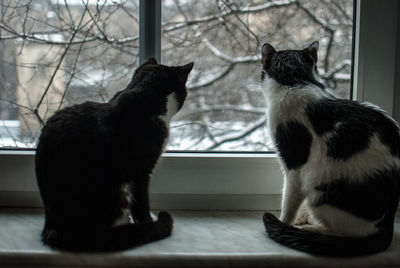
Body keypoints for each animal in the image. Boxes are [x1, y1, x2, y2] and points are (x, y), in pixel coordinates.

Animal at [260, 41, 398, 255]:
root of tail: (387, 224)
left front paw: (285, 221)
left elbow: (290, 199)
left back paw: (313, 228)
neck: (294, 82)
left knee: (345, 233)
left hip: (318, 184)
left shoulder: (294, 163)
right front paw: (299, 216)